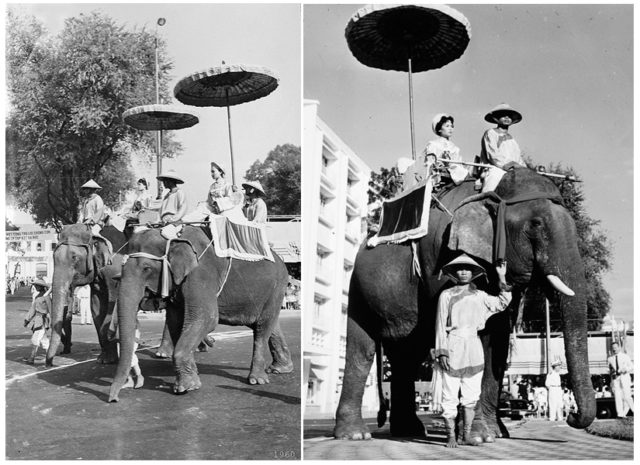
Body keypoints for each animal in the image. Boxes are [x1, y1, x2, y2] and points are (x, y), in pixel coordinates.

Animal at [108, 225, 296, 402]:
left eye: (146, 268)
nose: (113, 399)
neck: (173, 238)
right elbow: (176, 321)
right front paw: (193, 381)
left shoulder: (200, 274)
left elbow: (207, 318)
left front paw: (184, 388)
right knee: (270, 324)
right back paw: (280, 369)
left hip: (277, 287)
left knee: (263, 328)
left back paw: (257, 380)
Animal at [336, 166, 596, 438]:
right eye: (536, 224)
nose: (572, 416)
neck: (491, 190)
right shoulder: (441, 254)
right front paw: (480, 435)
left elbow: (497, 339)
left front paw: (496, 433)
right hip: (359, 289)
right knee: (362, 350)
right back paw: (355, 434)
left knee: (407, 357)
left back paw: (409, 431)